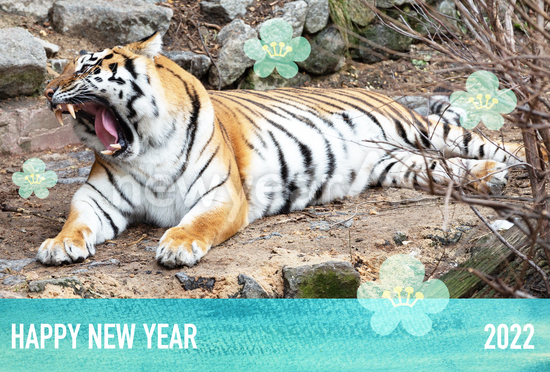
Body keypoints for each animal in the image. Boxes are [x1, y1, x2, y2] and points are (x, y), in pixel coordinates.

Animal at [40, 32, 528, 268]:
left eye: (85, 67)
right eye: (60, 69)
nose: (47, 91)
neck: (144, 149)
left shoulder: (221, 194)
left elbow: (196, 223)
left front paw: (177, 247)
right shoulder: (96, 197)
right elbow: (76, 222)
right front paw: (59, 247)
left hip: (426, 130)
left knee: (496, 143)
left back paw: (515, 167)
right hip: (399, 164)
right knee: (445, 168)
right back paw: (487, 176)